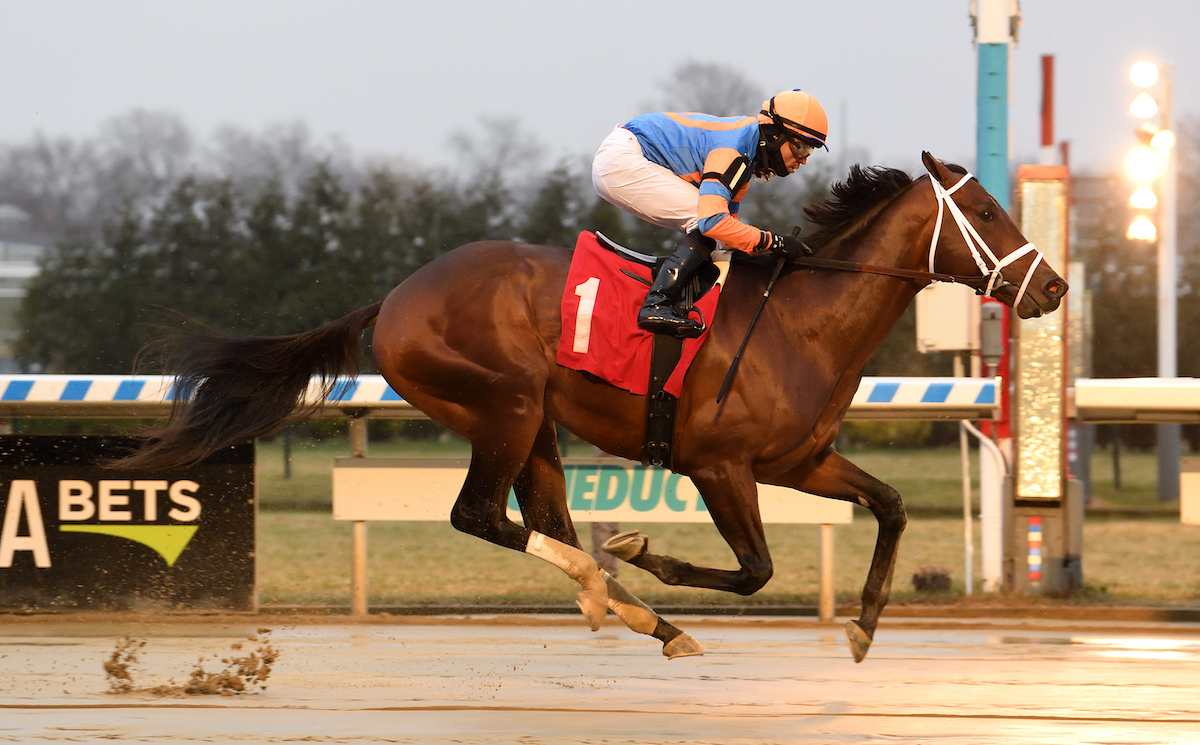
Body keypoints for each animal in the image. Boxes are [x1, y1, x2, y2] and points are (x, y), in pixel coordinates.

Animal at [124, 152, 1070, 662]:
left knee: (538, 516)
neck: (801, 321)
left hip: (534, 421)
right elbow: (755, 568)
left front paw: (868, 623)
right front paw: (644, 549)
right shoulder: (718, 464)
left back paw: (623, 605)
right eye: (987, 209)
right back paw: (613, 590)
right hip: (504, 402)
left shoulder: (800, 460)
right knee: (482, 515)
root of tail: (391, 300)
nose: (1054, 287)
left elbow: (893, 503)